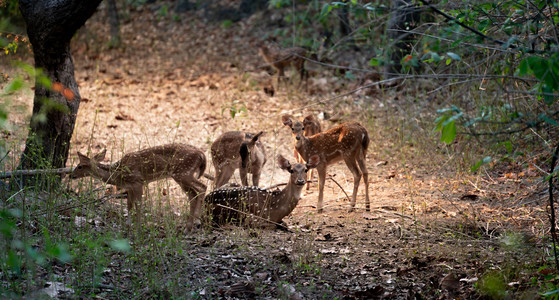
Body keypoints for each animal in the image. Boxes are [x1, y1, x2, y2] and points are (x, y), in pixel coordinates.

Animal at [70, 143, 208, 230]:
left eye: (79, 166)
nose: (71, 175)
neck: (118, 173)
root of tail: (202, 155)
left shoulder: (138, 182)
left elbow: (138, 205)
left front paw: (138, 226)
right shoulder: (130, 187)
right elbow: (129, 205)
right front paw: (128, 225)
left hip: (183, 172)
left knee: (202, 187)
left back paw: (195, 222)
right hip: (183, 175)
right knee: (193, 194)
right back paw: (190, 226)